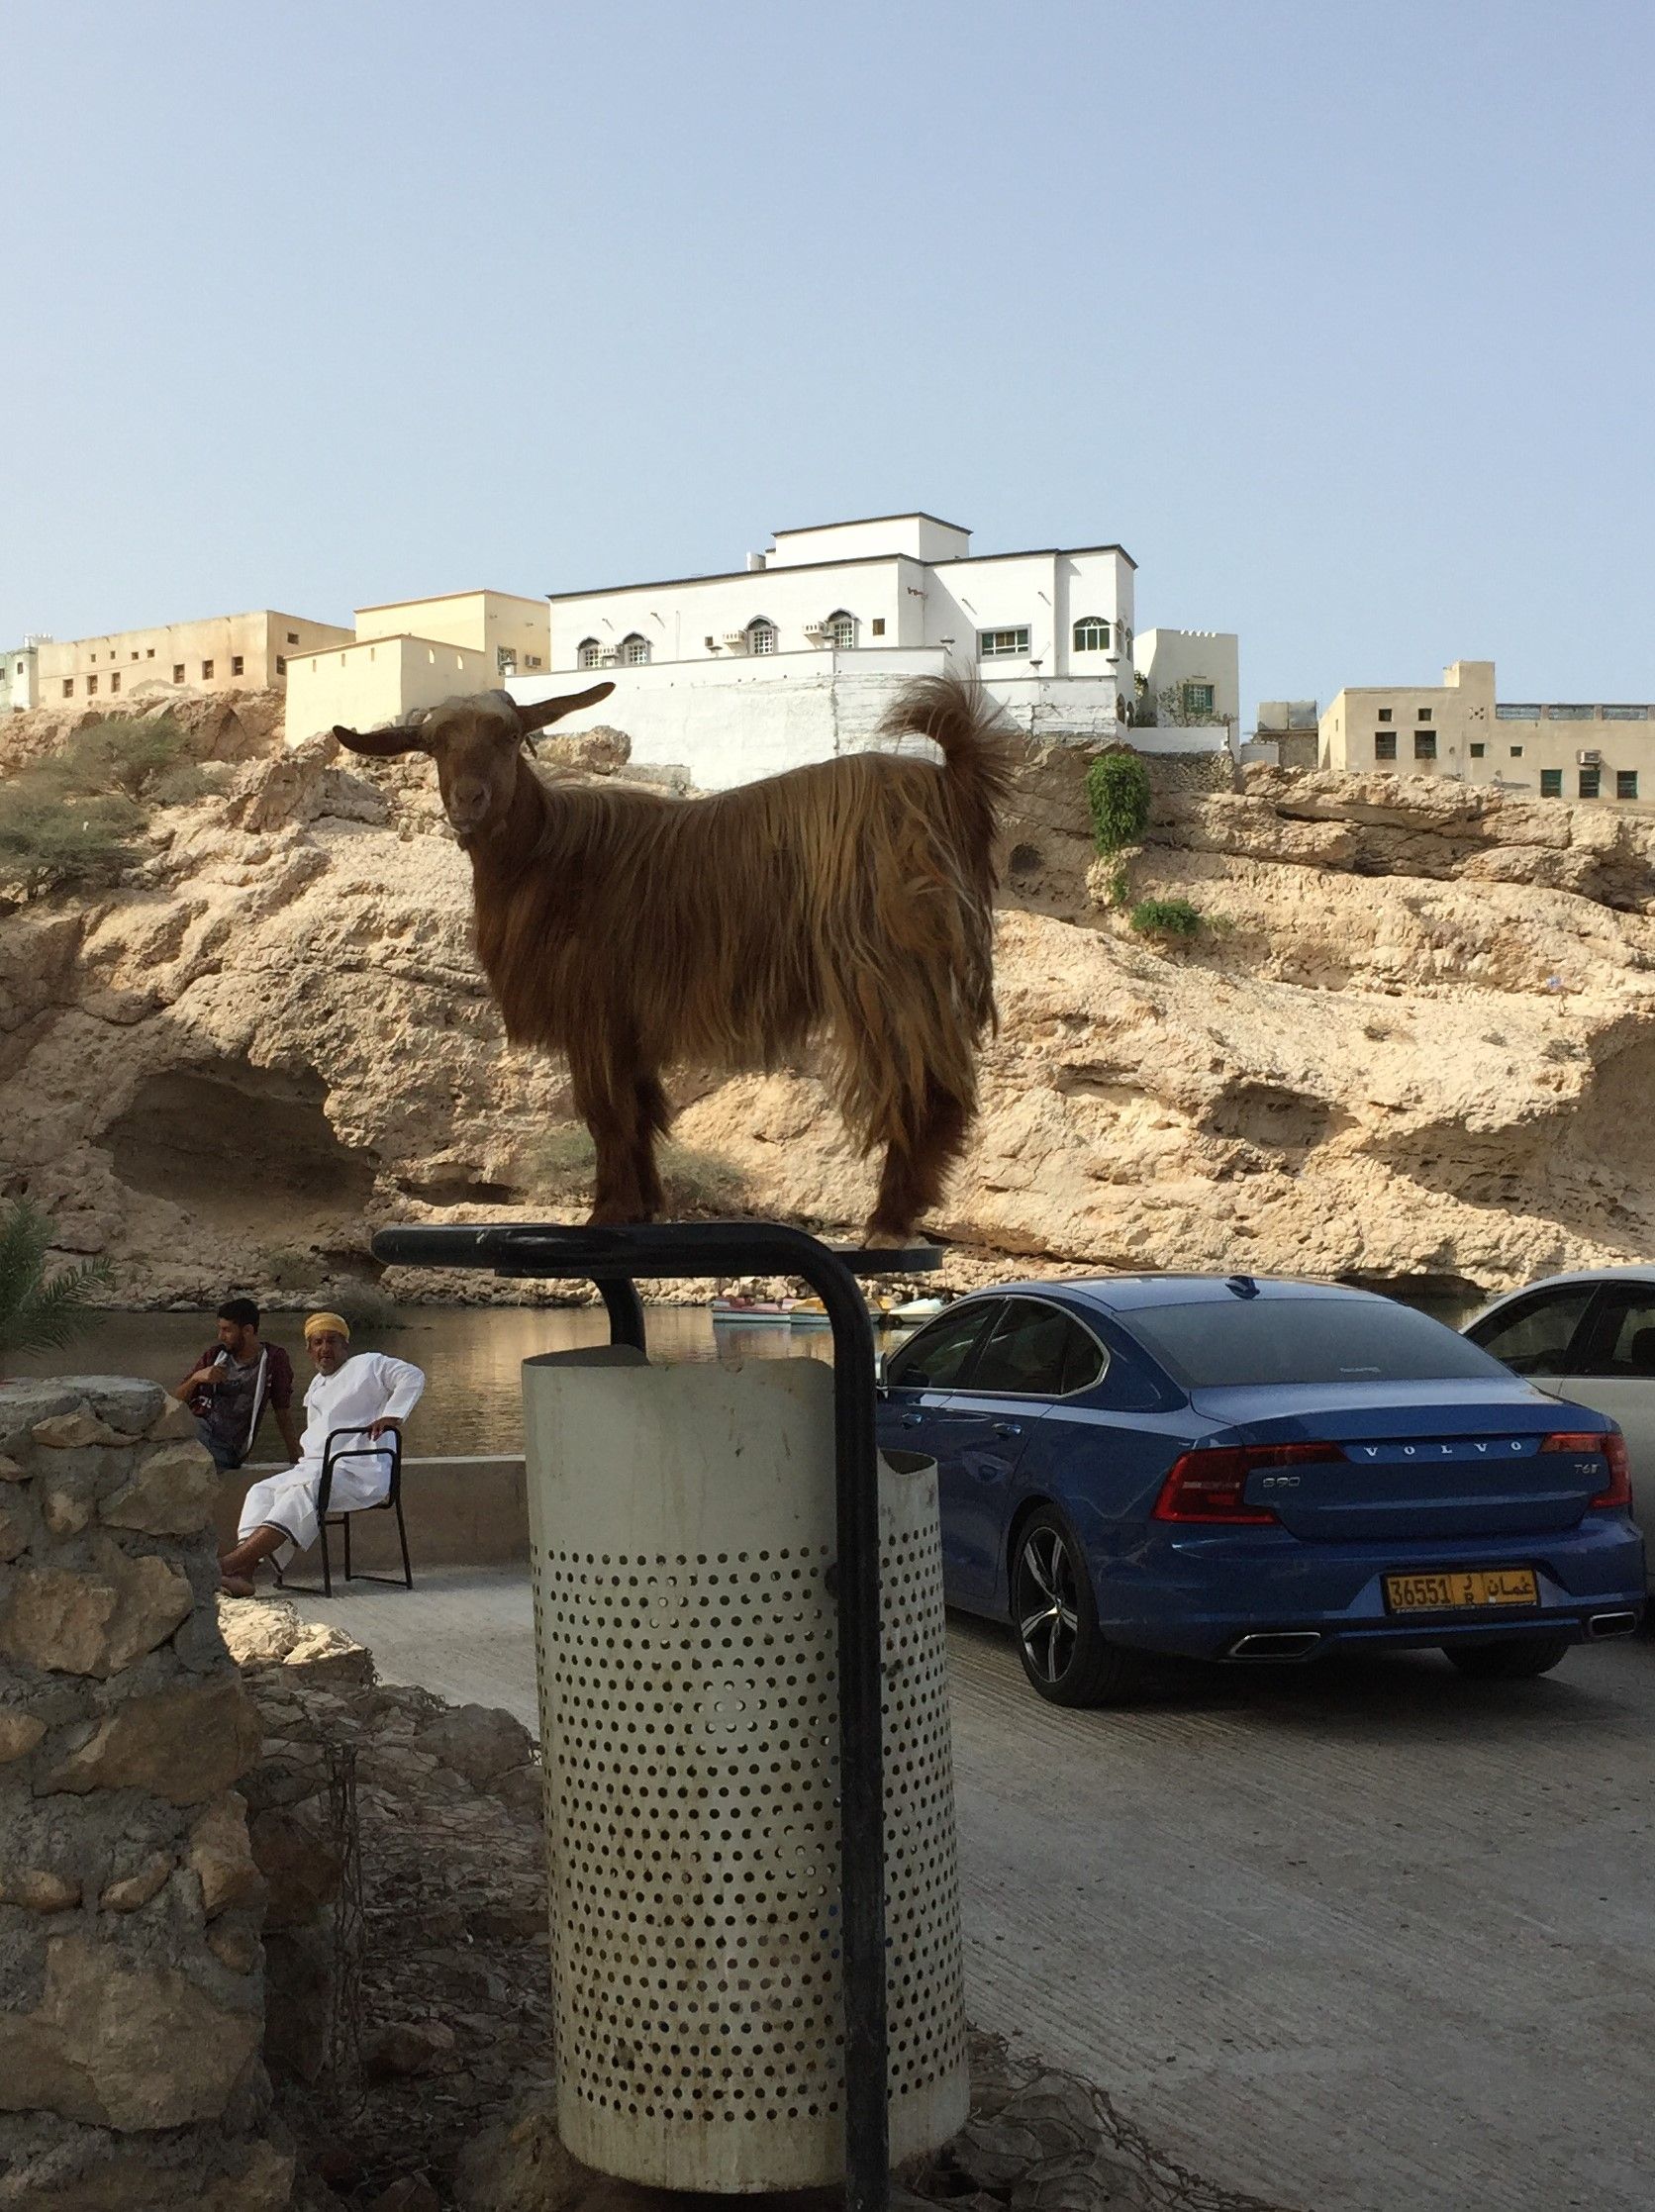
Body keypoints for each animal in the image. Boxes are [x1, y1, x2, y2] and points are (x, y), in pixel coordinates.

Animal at [334, 672, 1009, 1247]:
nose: (468, 801)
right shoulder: (626, 1022)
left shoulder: (594, 1011)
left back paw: (889, 1222)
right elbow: (638, 1112)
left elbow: (605, 1112)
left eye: (507, 736)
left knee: (925, 1087)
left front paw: (607, 1211)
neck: (546, 855)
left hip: (891, 966)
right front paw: (642, 1206)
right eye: (432, 745)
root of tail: (946, 784)